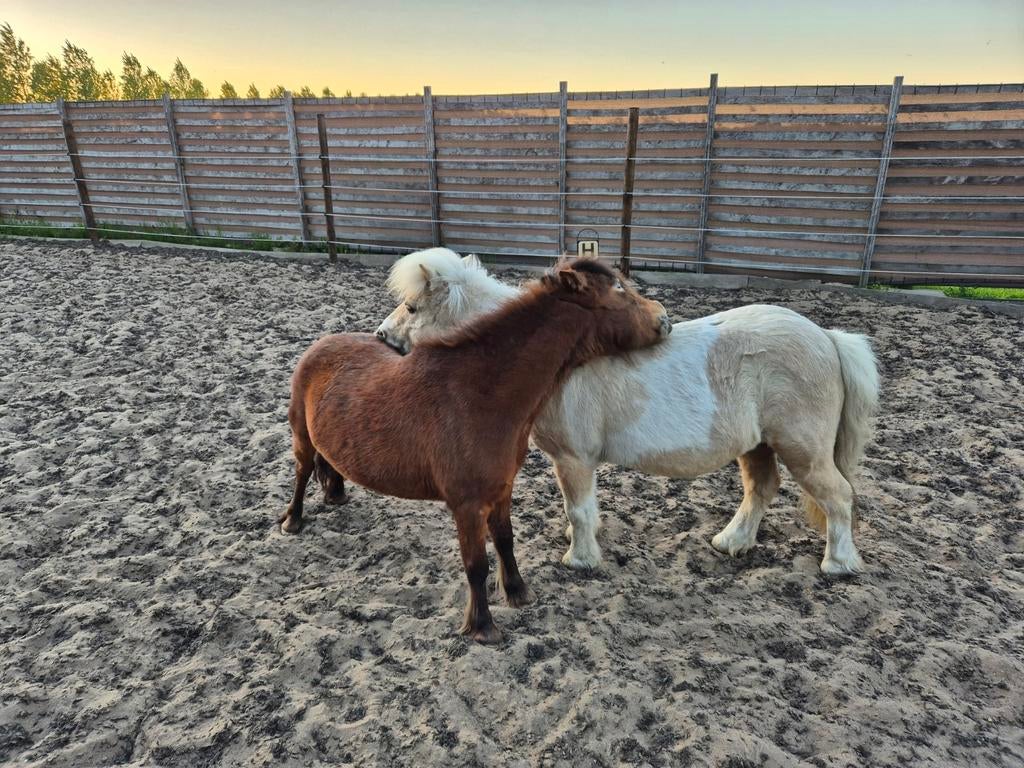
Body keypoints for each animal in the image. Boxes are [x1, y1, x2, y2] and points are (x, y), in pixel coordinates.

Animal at [284, 258, 670, 643]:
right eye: (619, 291)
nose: (663, 317)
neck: (480, 392)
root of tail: (321, 344)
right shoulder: (467, 506)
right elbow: (476, 565)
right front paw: (482, 625)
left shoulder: (501, 490)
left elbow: (505, 541)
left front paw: (517, 592)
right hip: (301, 437)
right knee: (303, 471)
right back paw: (293, 520)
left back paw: (335, 494)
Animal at [376, 248, 880, 576]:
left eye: (412, 307)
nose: (382, 337)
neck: (557, 360)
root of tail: (827, 337)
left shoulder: (573, 459)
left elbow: (579, 510)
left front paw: (580, 560)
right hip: (757, 446)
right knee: (761, 490)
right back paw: (732, 542)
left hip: (803, 451)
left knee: (838, 497)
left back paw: (838, 564)